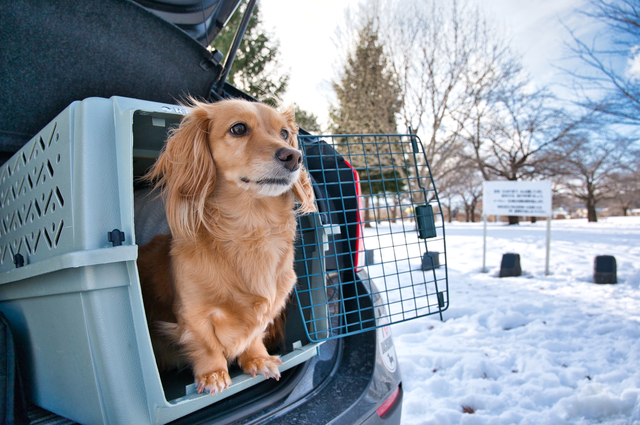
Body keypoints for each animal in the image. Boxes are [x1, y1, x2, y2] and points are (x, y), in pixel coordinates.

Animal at [138, 97, 316, 392]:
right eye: (238, 128)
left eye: (284, 133)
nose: (294, 156)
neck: (252, 229)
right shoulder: (193, 313)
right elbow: (206, 345)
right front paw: (213, 375)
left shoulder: (269, 306)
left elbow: (254, 335)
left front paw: (257, 359)